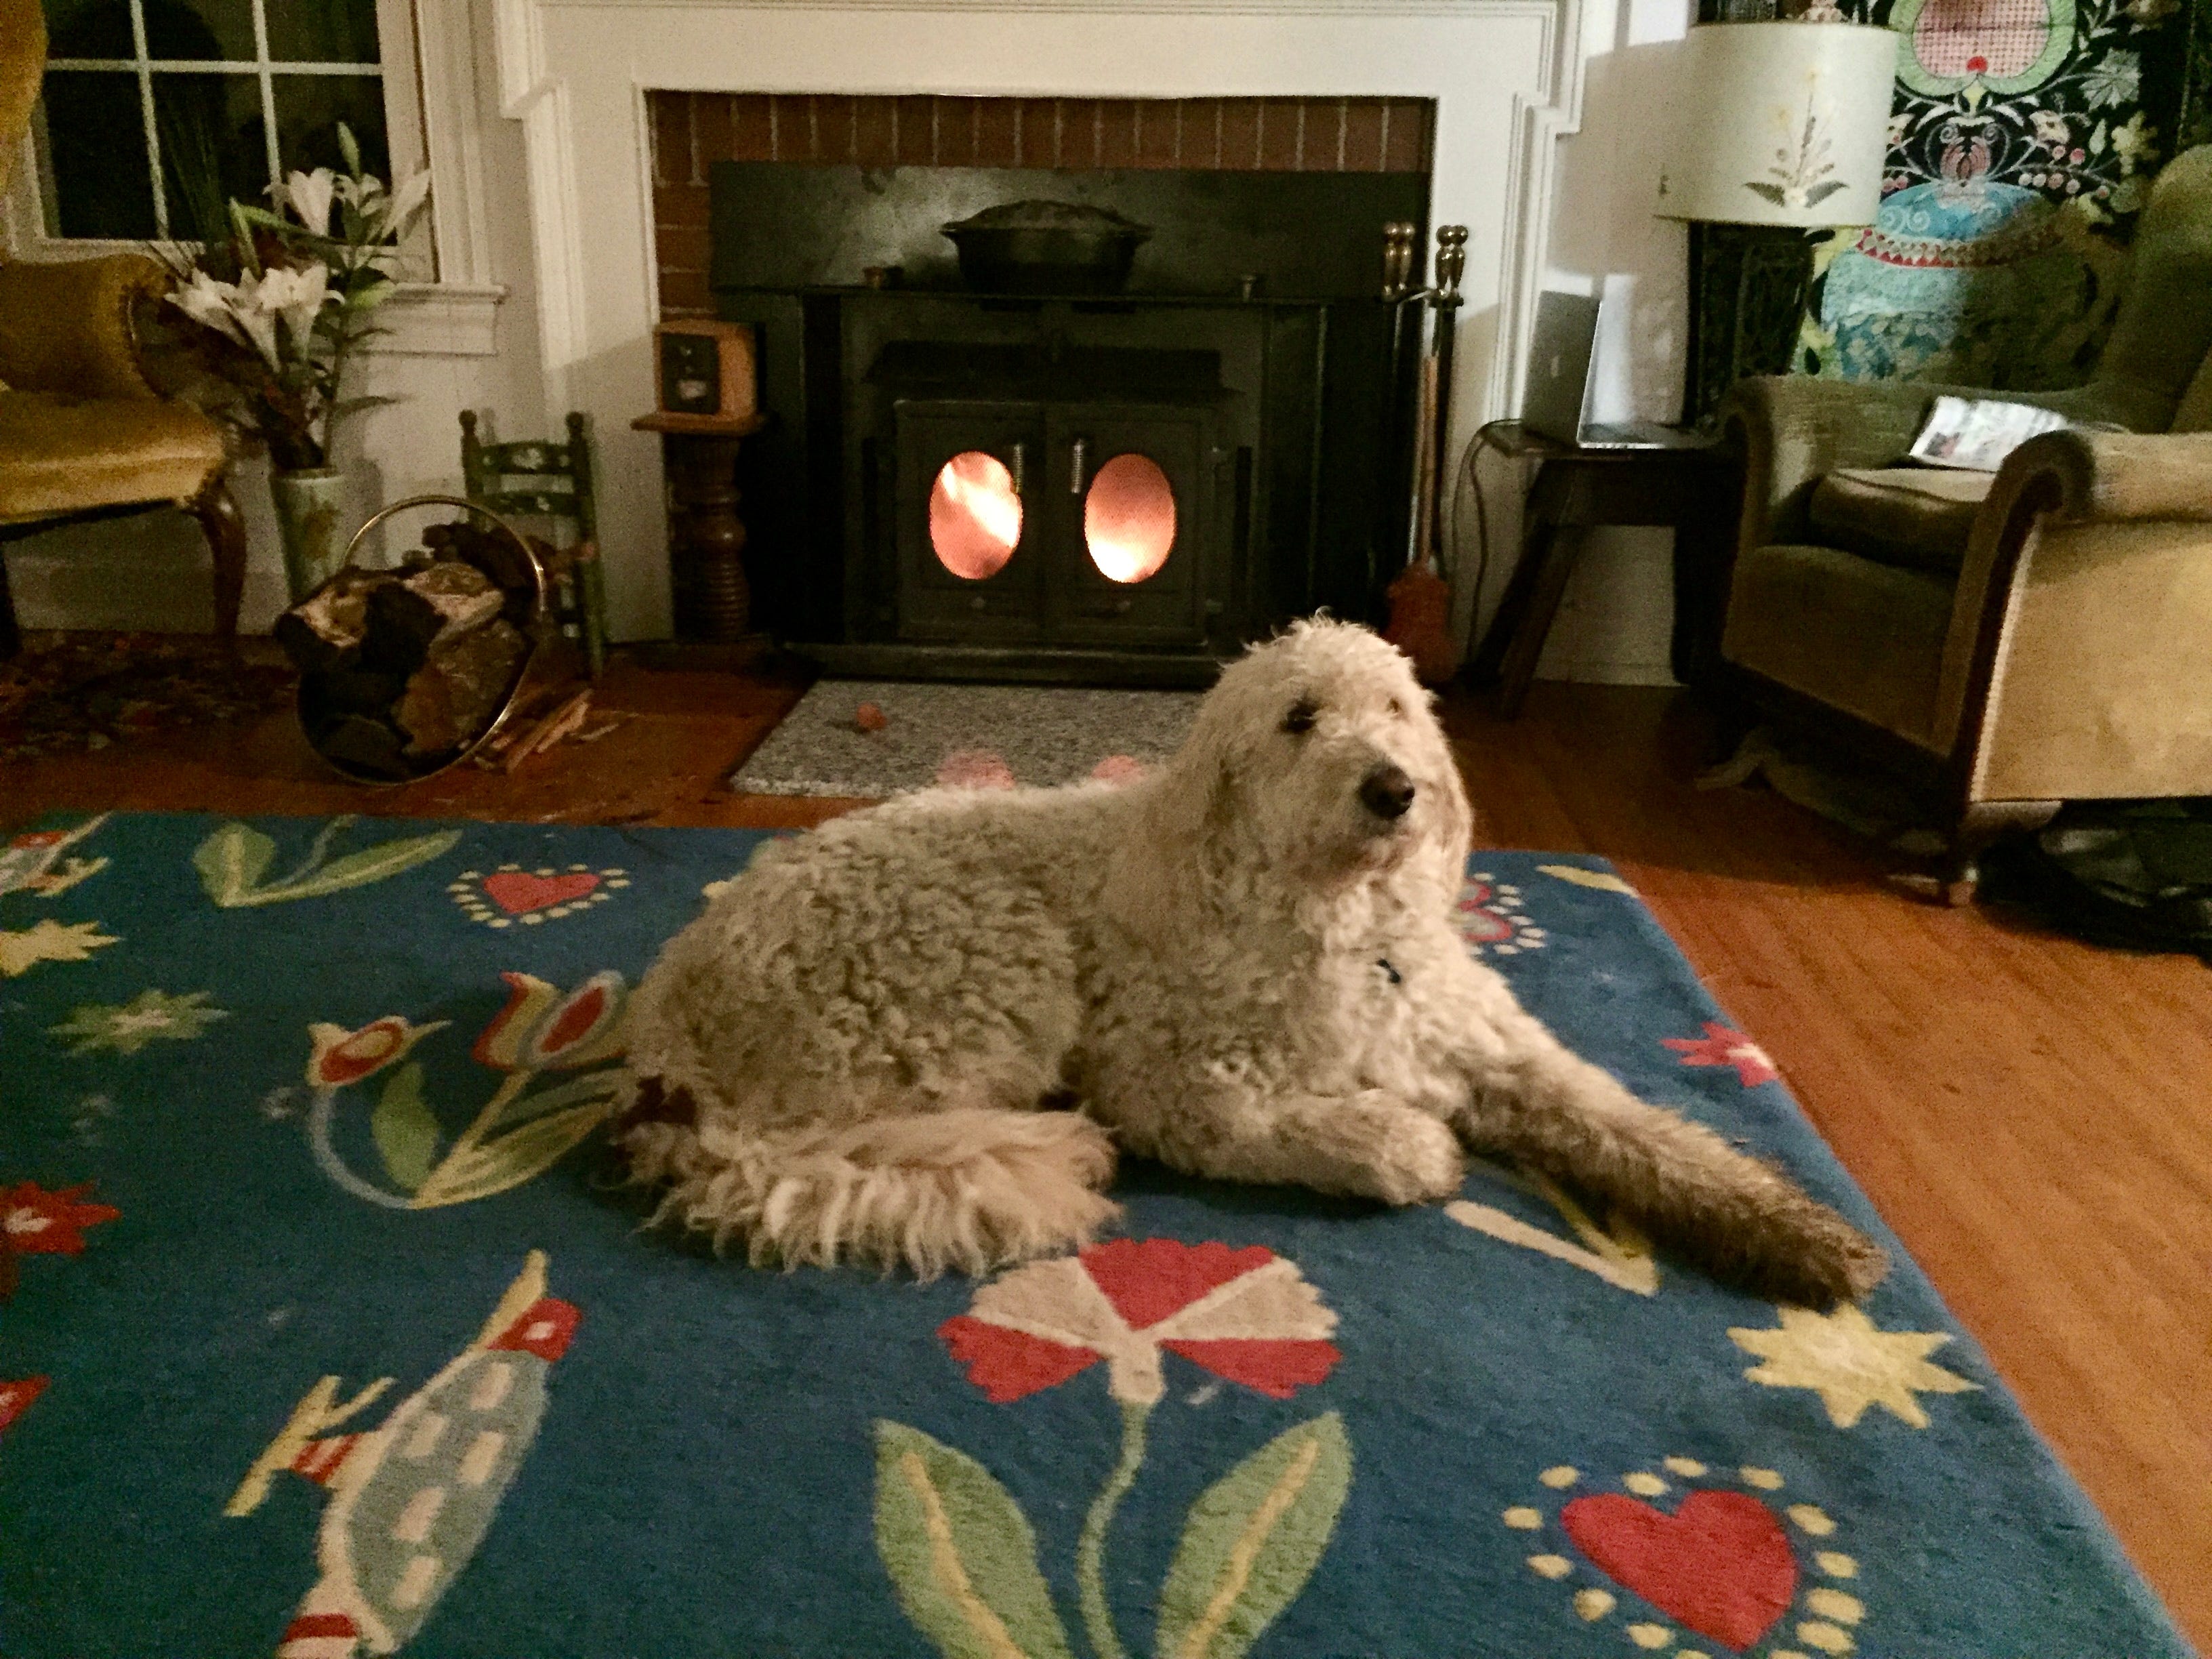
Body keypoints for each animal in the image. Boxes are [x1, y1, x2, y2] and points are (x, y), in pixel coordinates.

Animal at [618, 619, 1887, 1306]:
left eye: (1396, 706)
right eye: (1297, 719)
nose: (1395, 788)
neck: (1348, 931)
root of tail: (672, 1014)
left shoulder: (1511, 1058)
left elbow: (1657, 1140)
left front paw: (1795, 1234)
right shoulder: (1169, 1088)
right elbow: (1315, 1129)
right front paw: (1401, 1143)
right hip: (987, 977)